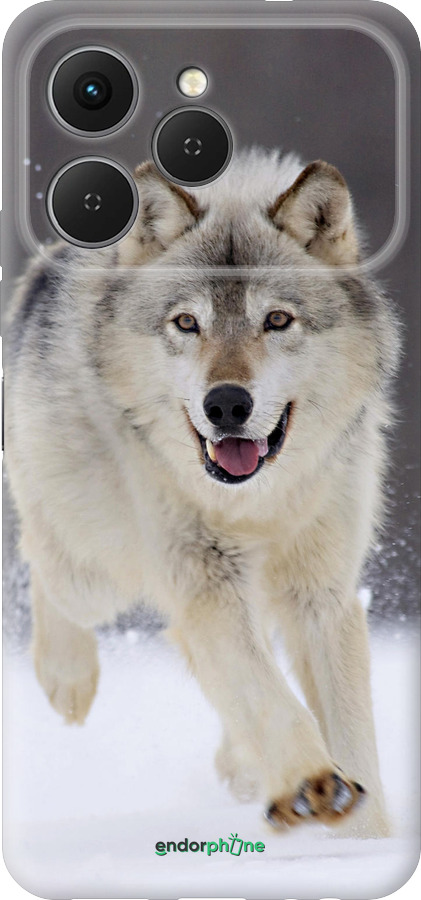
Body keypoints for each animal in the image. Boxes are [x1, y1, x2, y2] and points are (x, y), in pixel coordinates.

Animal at [5, 148, 400, 837]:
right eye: (187, 323)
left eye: (277, 320)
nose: (227, 405)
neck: (257, 503)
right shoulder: (204, 579)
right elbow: (267, 695)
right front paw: (312, 783)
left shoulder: (321, 594)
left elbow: (349, 733)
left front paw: (365, 837)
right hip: (96, 571)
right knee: (44, 564)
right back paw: (67, 680)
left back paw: (241, 766)